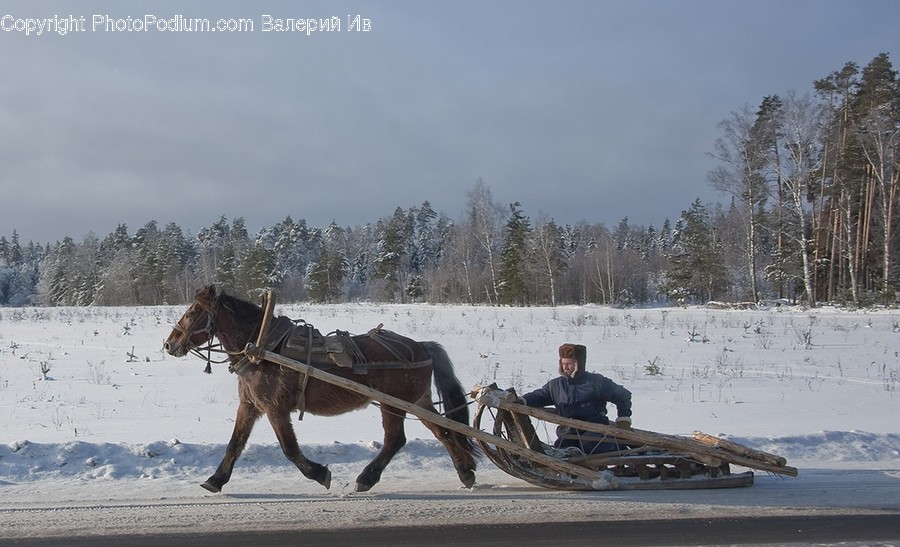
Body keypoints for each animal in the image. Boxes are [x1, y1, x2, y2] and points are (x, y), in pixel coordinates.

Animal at [163, 285, 478, 493]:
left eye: (192, 312)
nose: (169, 344)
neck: (261, 347)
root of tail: (421, 345)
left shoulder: (275, 408)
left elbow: (290, 449)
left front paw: (320, 473)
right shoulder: (250, 405)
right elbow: (235, 444)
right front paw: (215, 480)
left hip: (393, 404)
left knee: (395, 440)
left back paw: (366, 479)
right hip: (417, 401)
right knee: (444, 432)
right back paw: (465, 473)